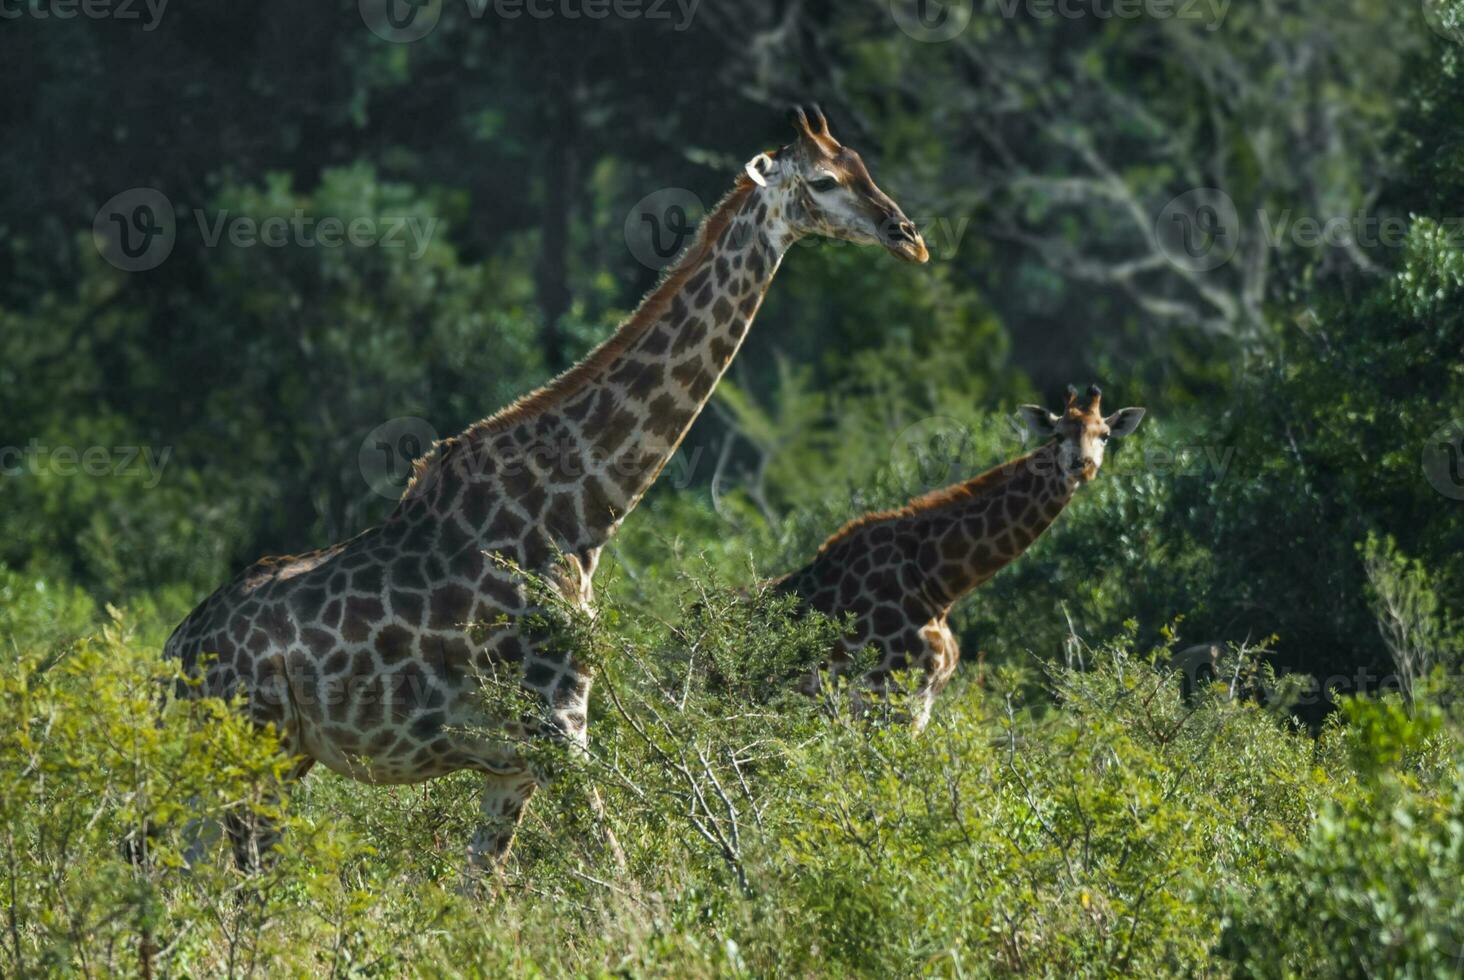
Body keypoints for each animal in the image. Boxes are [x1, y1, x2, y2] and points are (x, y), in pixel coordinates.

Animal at [166, 106, 925, 873]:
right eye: (824, 181)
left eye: (863, 164)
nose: (909, 236)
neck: (580, 512)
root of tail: (175, 648)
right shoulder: (557, 727)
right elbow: (616, 876)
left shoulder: (514, 763)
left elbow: (484, 889)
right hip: (253, 752)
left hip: (253, 761)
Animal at [772, 380, 1147, 726]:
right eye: (1057, 435)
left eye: (1105, 435)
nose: (1082, 465)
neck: (935, 582)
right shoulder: (884, 693)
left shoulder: (921, 700)